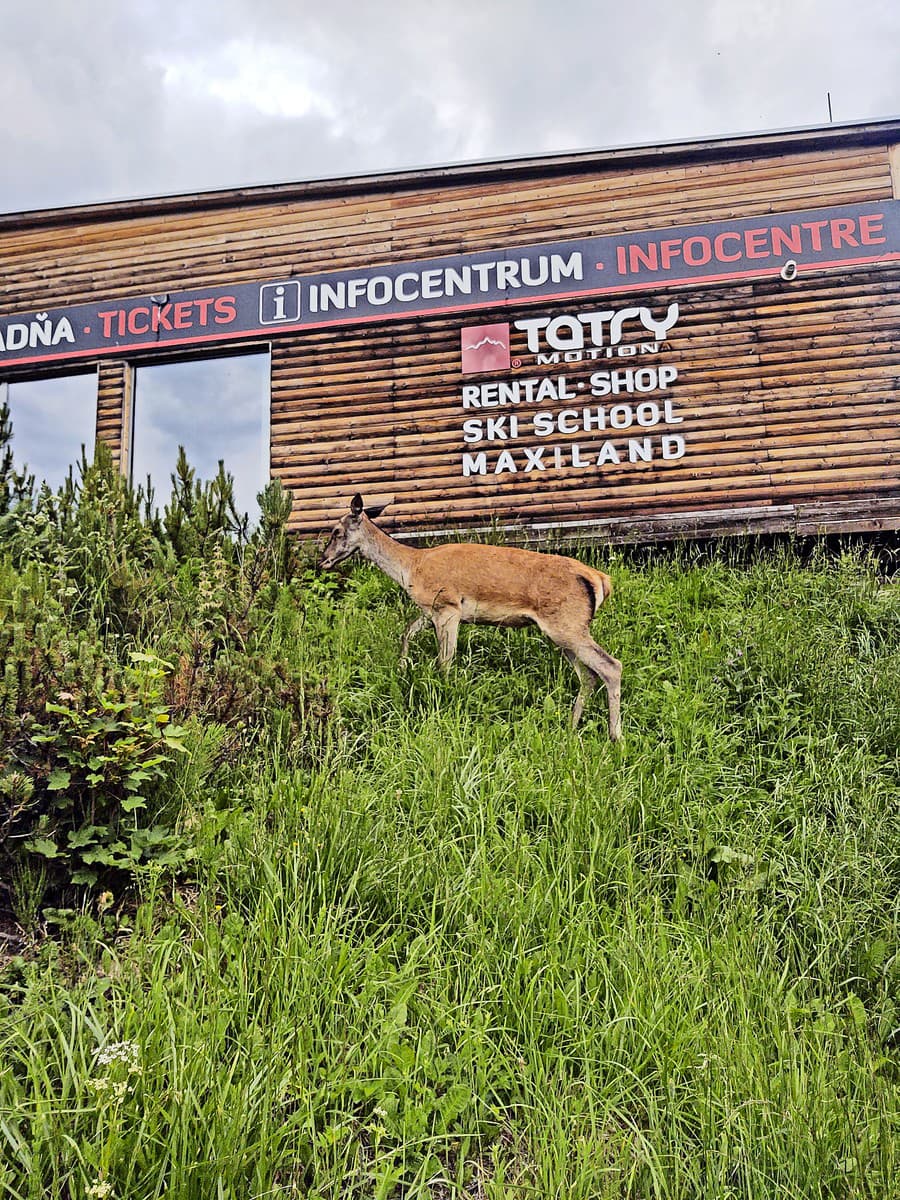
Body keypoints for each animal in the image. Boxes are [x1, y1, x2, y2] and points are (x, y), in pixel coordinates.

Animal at [321, 492, 624, 734]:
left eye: (336, 531)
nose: (323, 560)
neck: (411, 568)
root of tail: (600, 580)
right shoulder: (430, 610)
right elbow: (407, 632)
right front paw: (402, 666)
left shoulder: (448, 607)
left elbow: (444, 660)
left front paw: (442, 696)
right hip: (565, 631)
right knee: (589, 675)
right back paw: (572, 727)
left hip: (567, 624)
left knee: (611, 666)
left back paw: (615, 737)